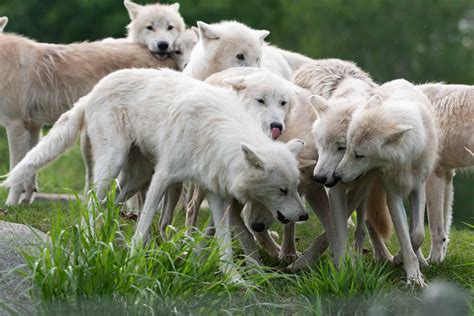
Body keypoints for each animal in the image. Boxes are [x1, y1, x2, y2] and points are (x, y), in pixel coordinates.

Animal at [0, 0, 183, 205]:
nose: (163, 45)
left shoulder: (15, 125)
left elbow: (16, 169)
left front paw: (10, 205)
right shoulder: (33, 126)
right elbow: (29, 170)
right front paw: (25, 202)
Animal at [1, 68, 310, 278]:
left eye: (296, 187)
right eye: (282, 190)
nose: (304, 216)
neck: (214, 133)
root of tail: (95, 88)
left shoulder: (215, 192)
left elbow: (223, 239)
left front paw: (235, 278)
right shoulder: (164, 176)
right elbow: (147, 221)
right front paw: (135, 260)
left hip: (136, 176)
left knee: (111, 203)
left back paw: (103, 237)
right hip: (114, 163)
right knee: (91, 200)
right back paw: (90, 237)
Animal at [336, 79, 438, 286]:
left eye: (359, 155)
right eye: (348, 149)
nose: (337, 175)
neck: (405, 160)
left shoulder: (418, 189)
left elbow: (417, 235)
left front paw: (405, 261)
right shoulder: (393, 195)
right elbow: (405, 238)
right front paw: (412, 275)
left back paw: (420, 260)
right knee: (366, 223)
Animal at [418, 82, 474, 262]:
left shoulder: (432, 176)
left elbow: (435, 229)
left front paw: (433, 262)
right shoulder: (446, 175)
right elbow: (444, 229)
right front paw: (439, 260)